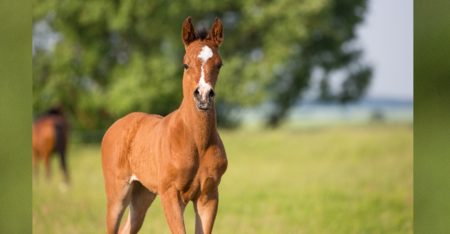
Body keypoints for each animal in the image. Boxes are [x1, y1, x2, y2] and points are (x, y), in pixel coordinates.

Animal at [102, 16, 229, 234]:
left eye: (219, 64)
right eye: (185, 64)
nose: (203, 96)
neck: (196, 141)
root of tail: (116, 126)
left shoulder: (208, 196)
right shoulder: (170, 194)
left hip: (143, 194)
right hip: (118, 194)